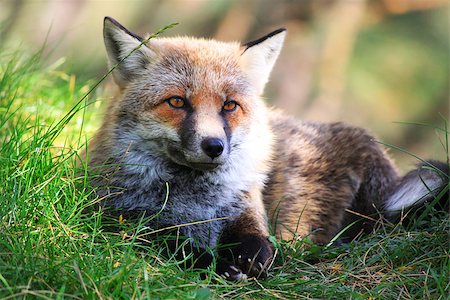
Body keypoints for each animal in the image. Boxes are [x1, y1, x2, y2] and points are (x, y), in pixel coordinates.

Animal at [85, 17, 450, 282]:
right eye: (176, 102)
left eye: (229, 106)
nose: (214, 146)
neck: (196, 201)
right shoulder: (118, 219)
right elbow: (176, 246)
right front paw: (215, 263)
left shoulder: (248, 208)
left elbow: (258, 241)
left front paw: (253, 259)